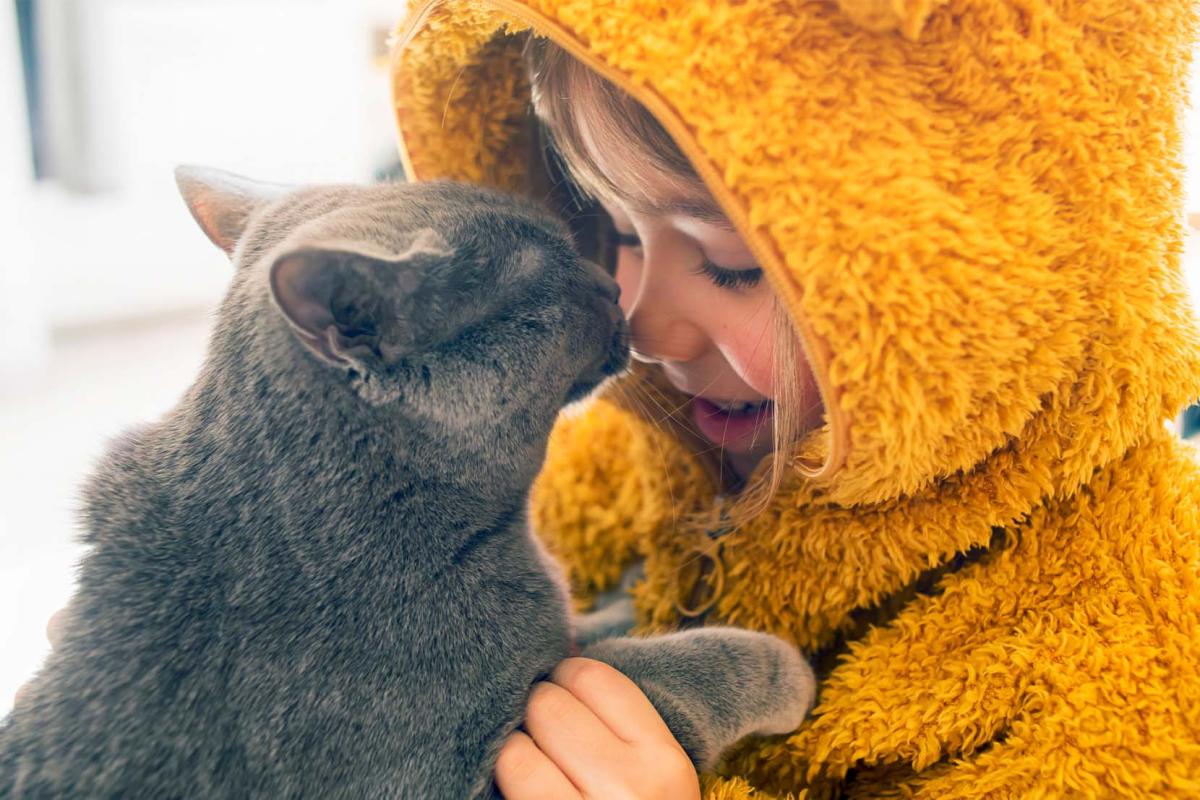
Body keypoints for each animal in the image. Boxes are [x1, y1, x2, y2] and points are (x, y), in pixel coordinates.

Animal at [2, 165, 816, 796]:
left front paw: (630, 595)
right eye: (544, 280)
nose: (610, 284)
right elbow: (648, 670)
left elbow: (580, 632)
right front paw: (779, 666)